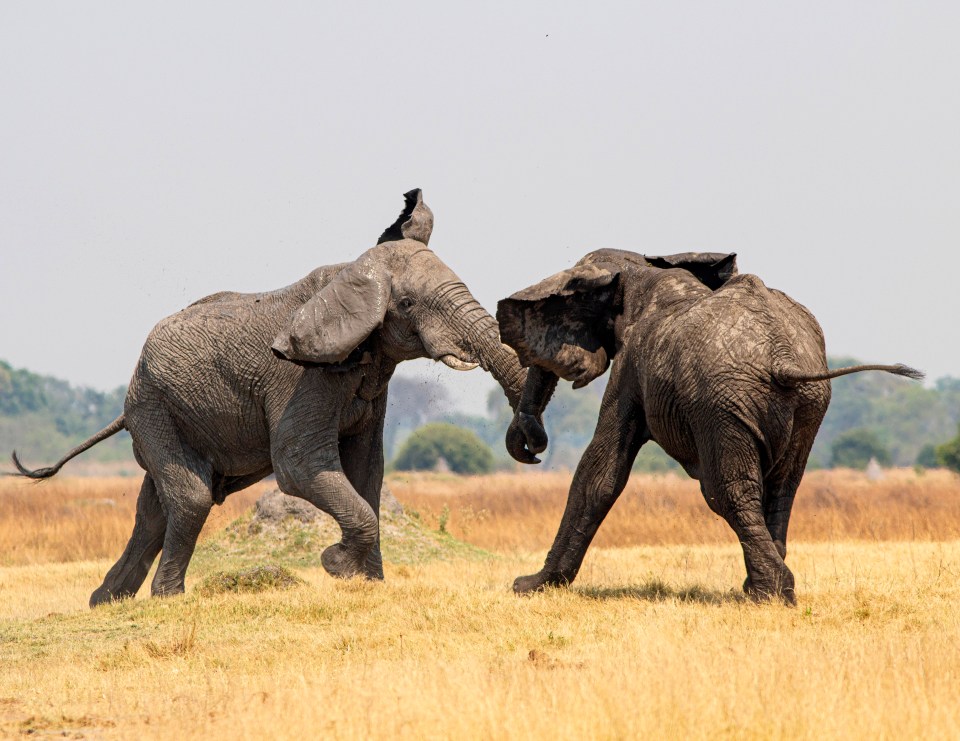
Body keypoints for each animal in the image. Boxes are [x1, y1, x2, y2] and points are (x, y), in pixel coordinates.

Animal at [11, 191, 528, 608]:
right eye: (407, 305)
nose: (527, 444)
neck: (350, 270)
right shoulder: (301, 378)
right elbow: (299, 464)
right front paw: (335, 565)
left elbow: (368, 470)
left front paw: (369, 585)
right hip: (154, 406)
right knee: (191, 497)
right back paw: (166, 599)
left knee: (154, 509)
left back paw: (106, 602)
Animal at [498, 249, 920, 600]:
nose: (534, 448)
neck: (641, 269)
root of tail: (782, 356)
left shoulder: (631, 367)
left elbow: (600, 473)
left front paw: (530, 586)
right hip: (806, 404)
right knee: (782, 487)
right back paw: (762, 588)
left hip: (722, 402)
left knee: (726, 490)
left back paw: (770, 594)